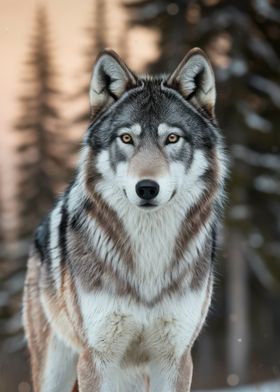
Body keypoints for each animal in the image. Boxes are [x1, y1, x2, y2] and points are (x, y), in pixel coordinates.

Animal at [23, 47, 226, 390]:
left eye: (172, 139)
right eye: (127, 138)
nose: (146, 188)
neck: (149, 252)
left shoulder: (174, 360)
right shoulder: (97, 360)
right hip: (59, 367)